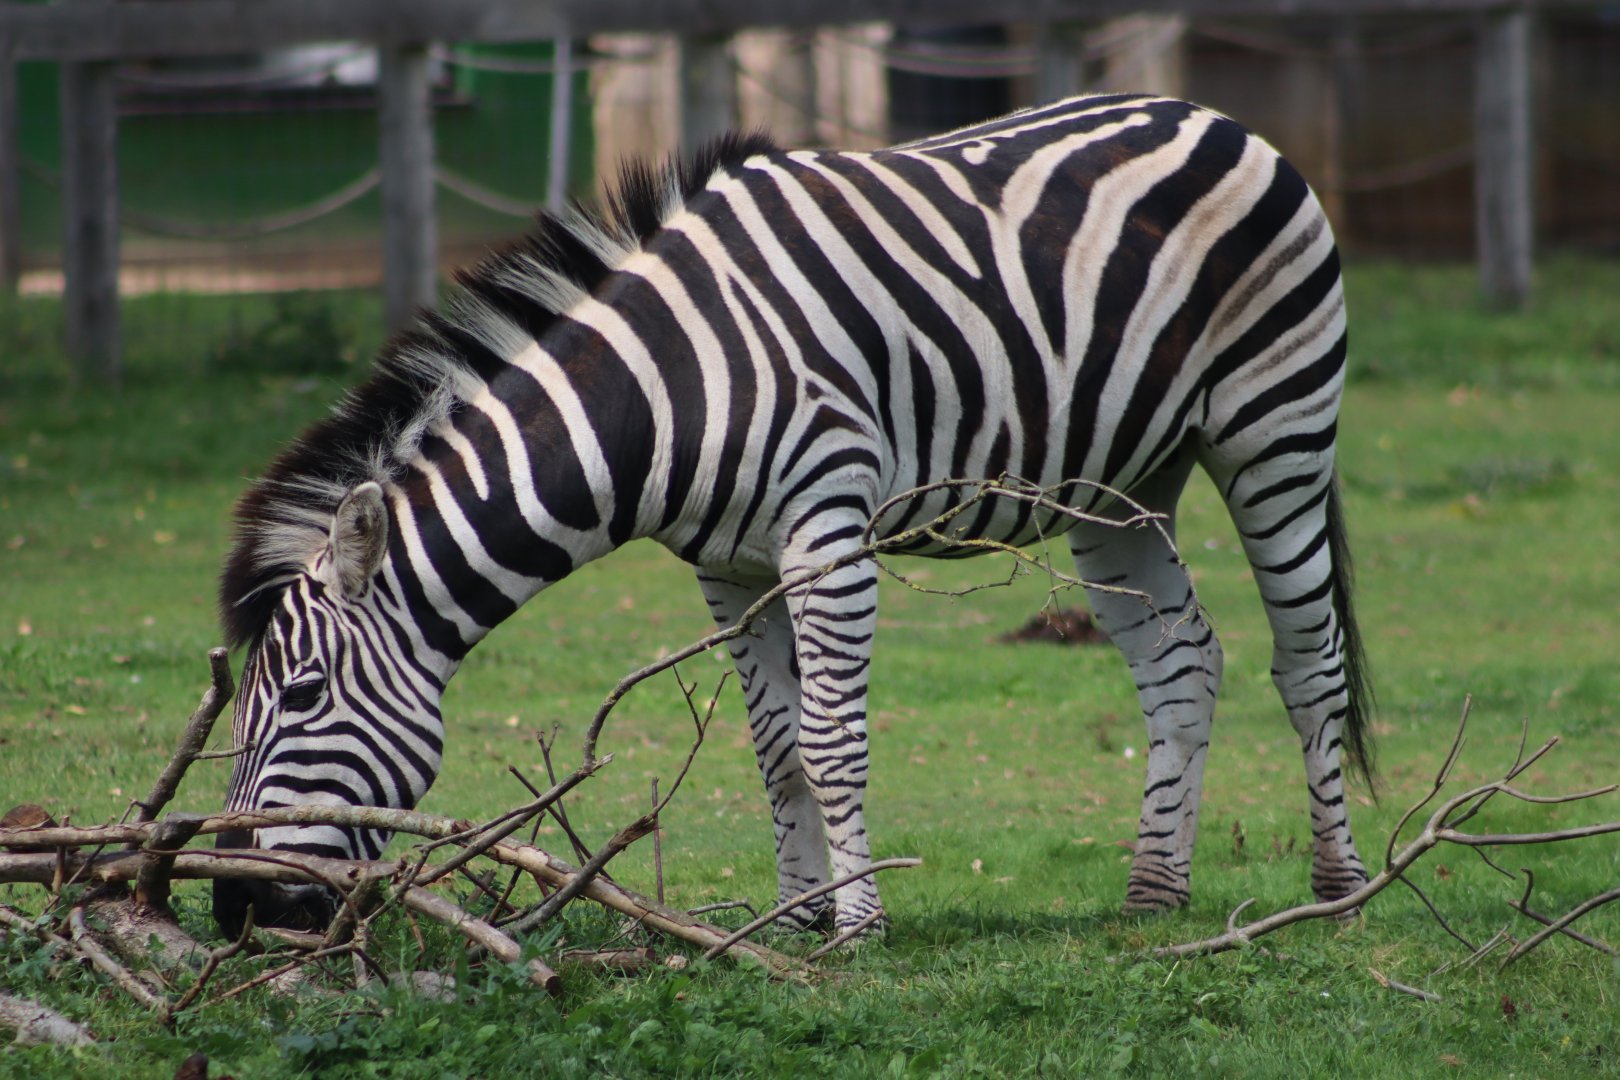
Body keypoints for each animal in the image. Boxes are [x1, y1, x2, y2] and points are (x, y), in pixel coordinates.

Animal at [211, 93, 1374, 938]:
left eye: (301, 696)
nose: (231, 908)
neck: (665, 391)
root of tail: (1212, 115)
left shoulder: (828, 532)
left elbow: (828, 738)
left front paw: (860, 924)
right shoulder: (728, 568)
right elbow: (773, 748)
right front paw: (794, 918)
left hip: (1275, 425)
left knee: (1309, 661)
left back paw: (1340, 888)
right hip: (1120, 483)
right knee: (1182, 660)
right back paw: (1152, 896)